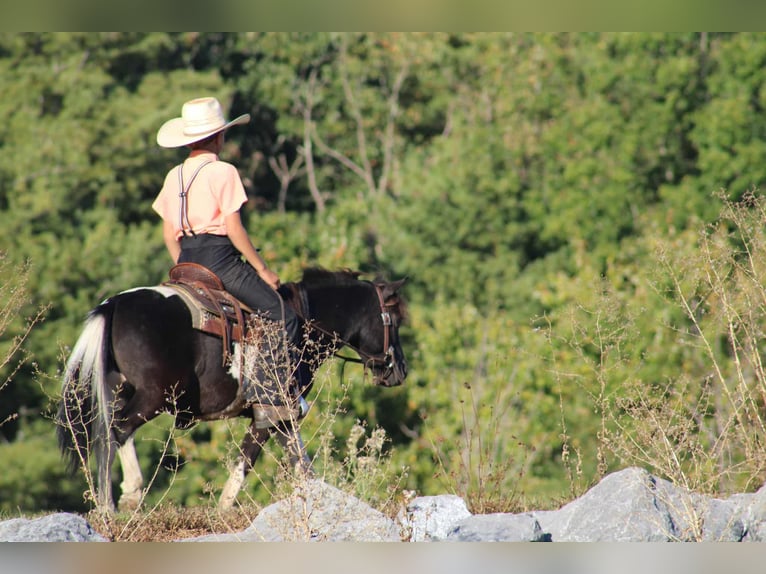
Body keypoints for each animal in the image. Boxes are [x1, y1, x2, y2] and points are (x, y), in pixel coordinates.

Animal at [56, 267, 408, 512]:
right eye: (394, 321)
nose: (400, 370)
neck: (305, 322)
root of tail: (114, 304)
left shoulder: (278, 417)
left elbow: (294, 463)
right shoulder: (274, 411)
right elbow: (254, 460)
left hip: (123, 392)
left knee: (108, 432)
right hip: (154, 396)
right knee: (118, 429)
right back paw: (124, 496)